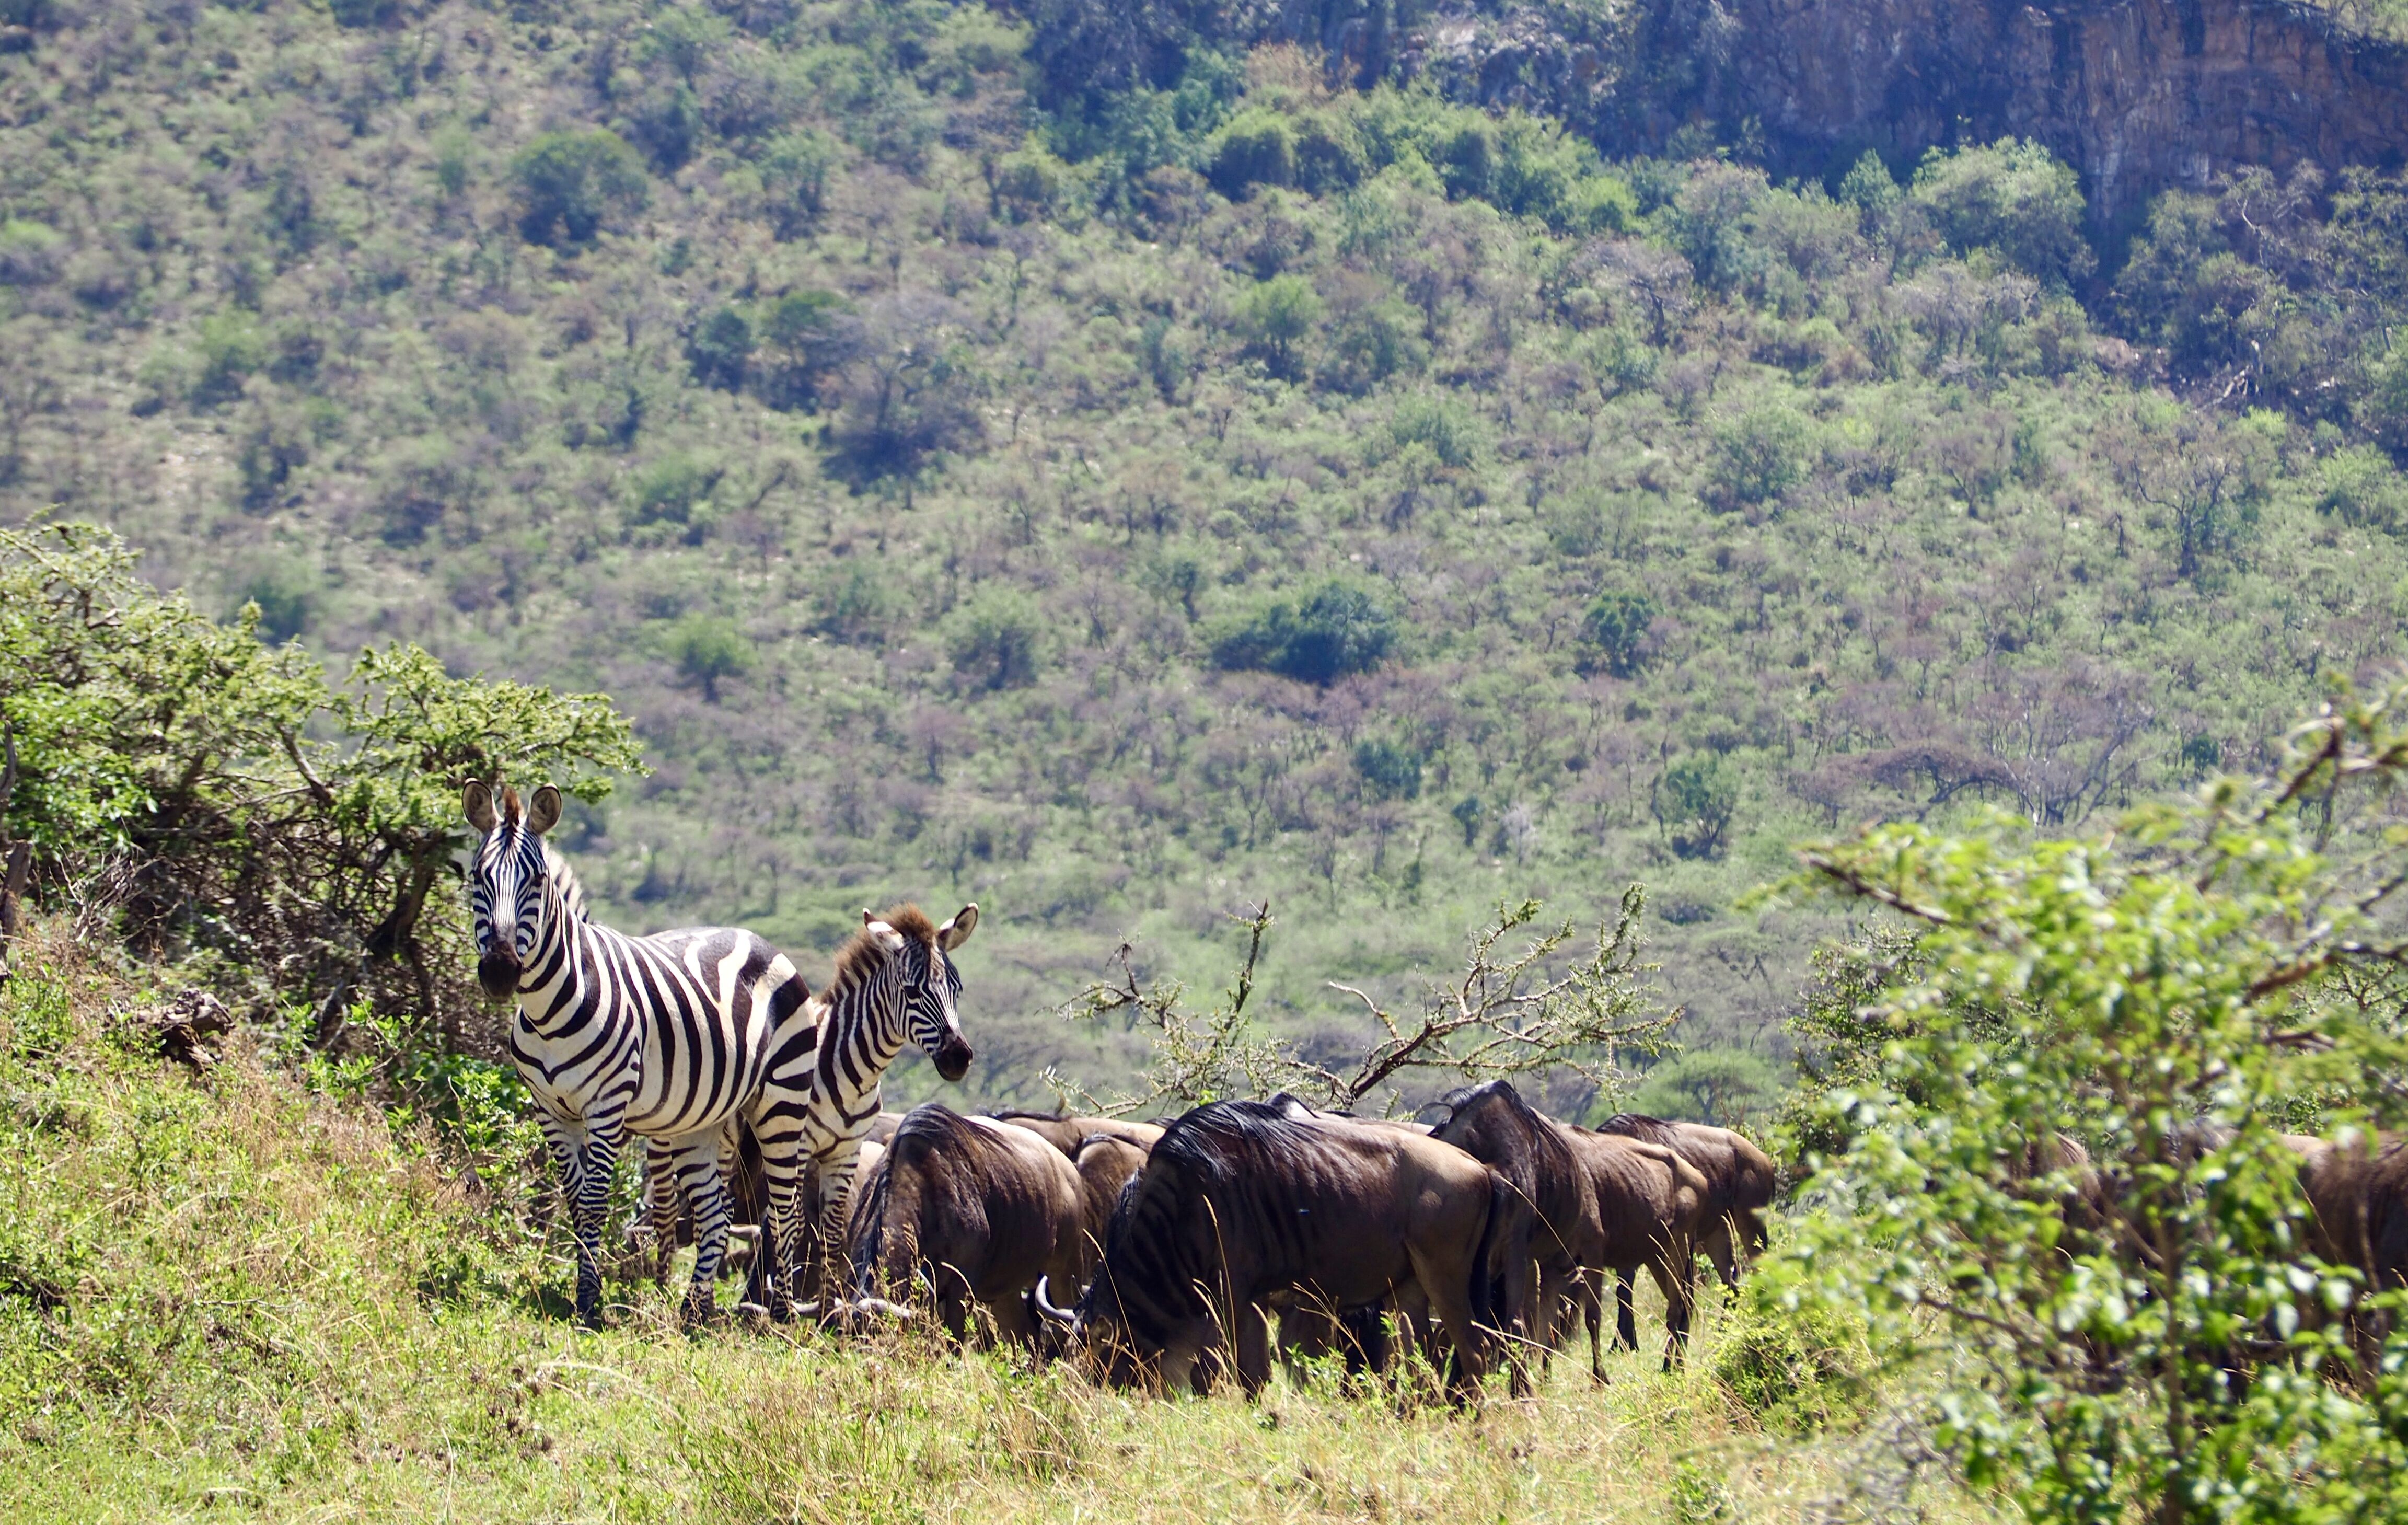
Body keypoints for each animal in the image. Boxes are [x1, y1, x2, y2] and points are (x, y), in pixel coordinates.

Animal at [465, 780, 804, 1330]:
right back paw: (694, 1313)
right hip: (700, 1121)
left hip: (782, 1100)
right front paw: (586, 1294)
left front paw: (589, 1304)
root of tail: (753, 936)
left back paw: (781, 1316)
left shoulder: (606, 1106)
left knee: (785, 1209)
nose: (499, 971)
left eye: (537, 881)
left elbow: (594, 1202)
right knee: (715, 1214)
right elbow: (575, 1201)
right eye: (478, 877)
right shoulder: (549, 1110)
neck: (548, 1008)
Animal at [751, 896, 977, 1310]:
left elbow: (832, 1233)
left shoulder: (847, 1151)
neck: (852, 1073)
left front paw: (826, 1311)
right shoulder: (798, 1146)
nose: (959, 1058)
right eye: (912, 992)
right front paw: (781, 1310)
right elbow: (789, 1224)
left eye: (958, 989)